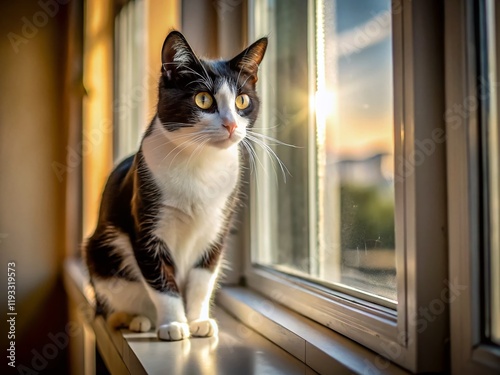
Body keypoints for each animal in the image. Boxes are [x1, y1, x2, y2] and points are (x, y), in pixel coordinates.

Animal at [84, 30, 268, 342]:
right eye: (203, 99)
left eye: (242, 101)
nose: (231, 125)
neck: (201, 162)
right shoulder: (146, 226)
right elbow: (160, 279)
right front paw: (173, 324)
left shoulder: (216, 228)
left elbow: (202, 278)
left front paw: (197, 321)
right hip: (100, 254)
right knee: (107, 305)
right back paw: (135, 319)